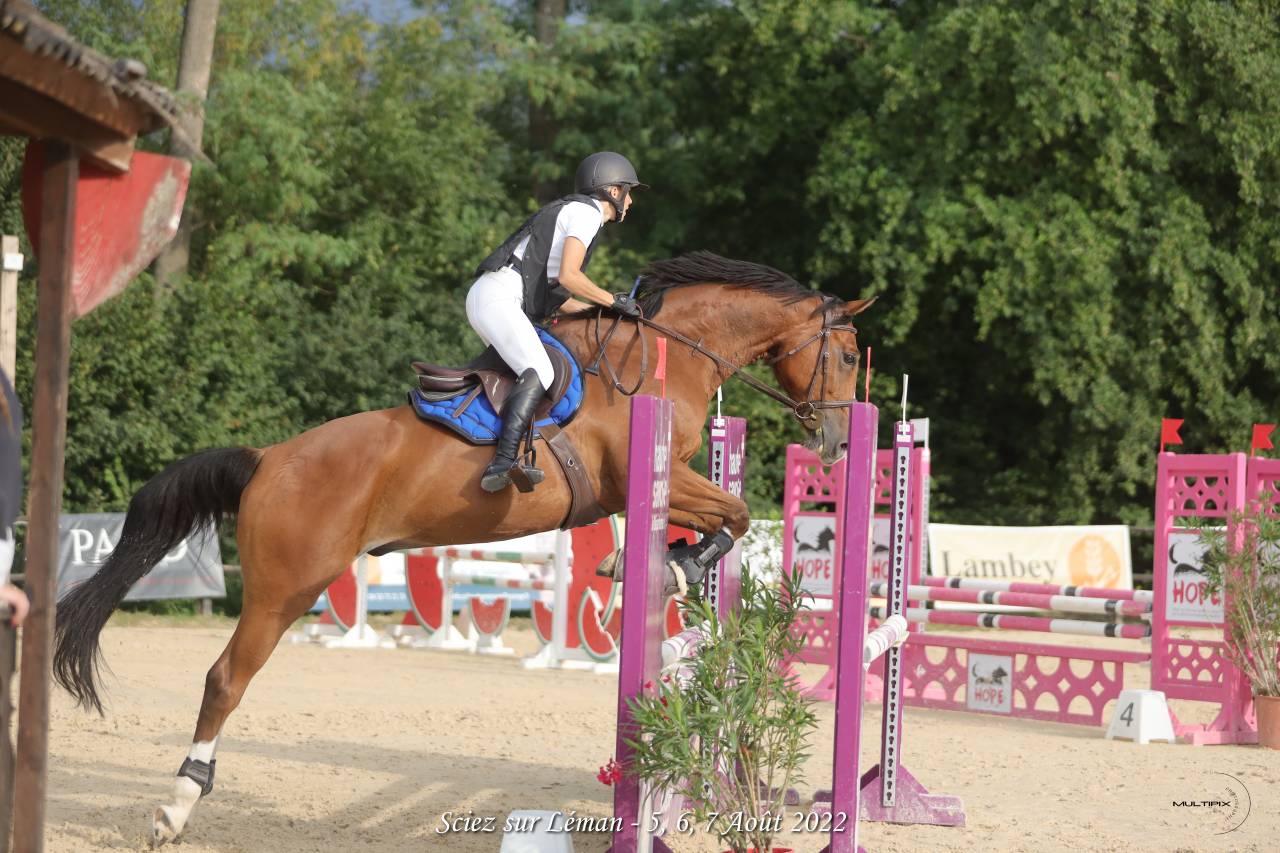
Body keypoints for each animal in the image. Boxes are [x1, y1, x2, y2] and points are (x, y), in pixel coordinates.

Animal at [52, 251, 873, 845]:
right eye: (842, 356)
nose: (835, 439)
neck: (662, 358)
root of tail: (268, 458)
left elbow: (727, 517)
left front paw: (666, 563)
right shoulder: (643, 476)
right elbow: (736, 512)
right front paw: (671, 563)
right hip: (286, 589)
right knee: (225, 679)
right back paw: (173, 810)